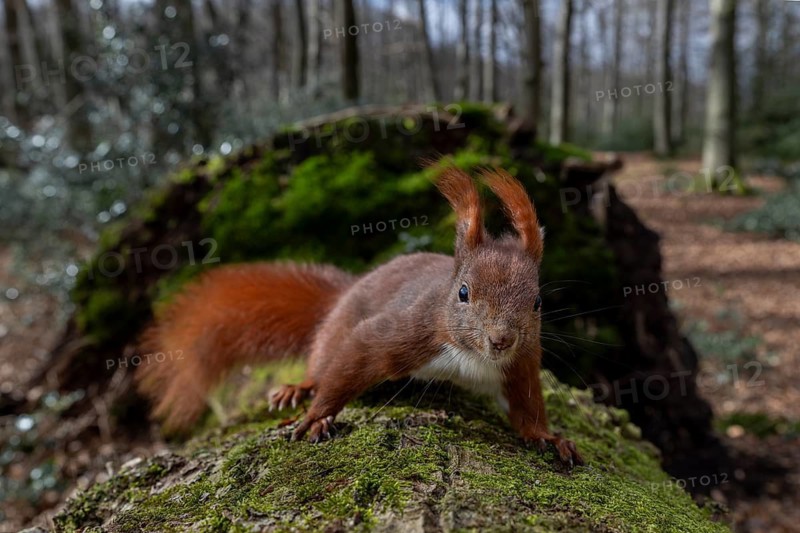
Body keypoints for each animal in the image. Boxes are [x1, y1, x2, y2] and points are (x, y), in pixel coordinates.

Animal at [136, 166, 583, 467]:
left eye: (537, 302)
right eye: (463, 293)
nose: (501, 340)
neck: (472, 358)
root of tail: (347, 290)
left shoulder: (521, 364)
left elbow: (527, 407)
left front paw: (549, 437)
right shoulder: (409, 329)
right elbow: (356, 356)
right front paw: (316, 417)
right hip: (338, 324)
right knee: (324, 357)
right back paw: (300, 386)